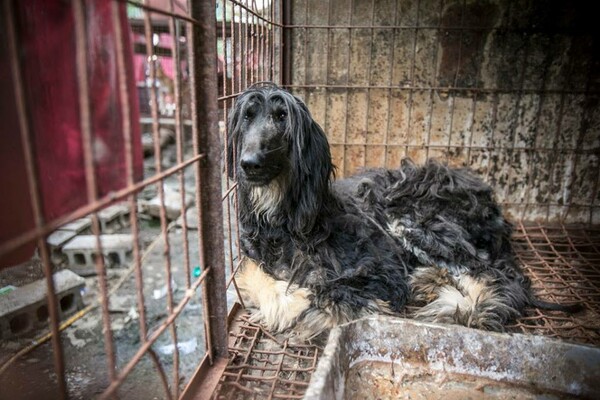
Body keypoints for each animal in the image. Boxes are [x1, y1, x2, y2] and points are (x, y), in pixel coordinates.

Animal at [227, 83, 580, 340]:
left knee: (499, 278)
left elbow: (331, 292)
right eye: (247, 116)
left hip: (413, 220)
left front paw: (304, 308)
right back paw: (426, 280)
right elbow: (255, 274)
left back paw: (458, 306)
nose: (249, 164)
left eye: (282, 116)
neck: (284, 218)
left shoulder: (379, 269)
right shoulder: (256, 257)